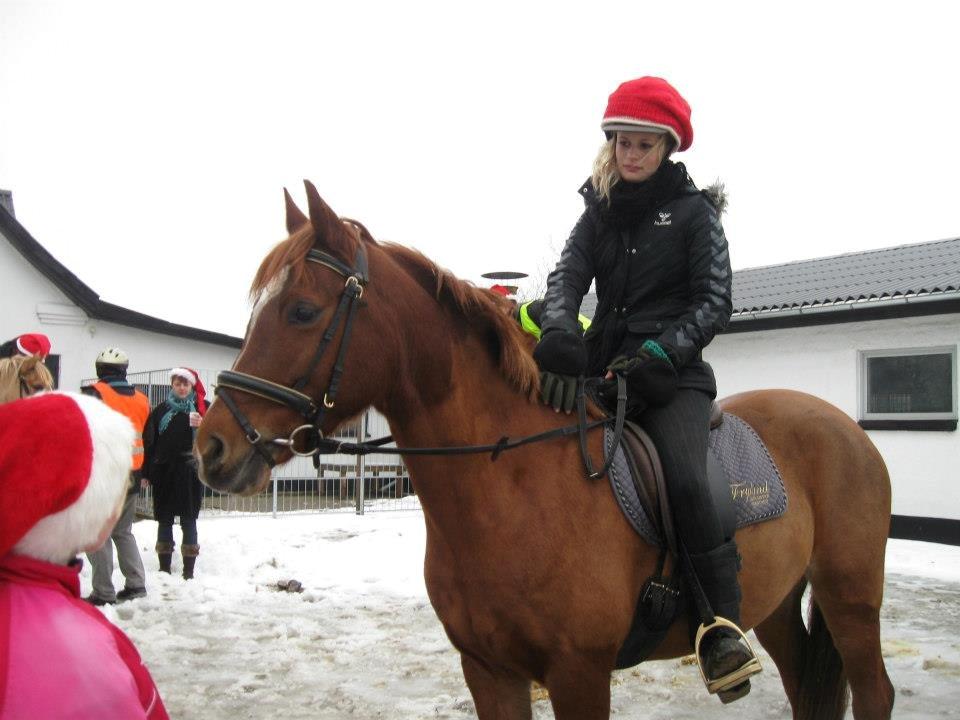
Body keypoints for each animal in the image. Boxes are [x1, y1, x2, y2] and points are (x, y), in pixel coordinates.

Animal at [199, 181, 896, 720]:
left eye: (302, 311)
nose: (211, 447)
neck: (512, 488)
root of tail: (846, 427)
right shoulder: (489, 670)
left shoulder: (578, 673)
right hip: (774, 603)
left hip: (850, 597)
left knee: (875, 693)